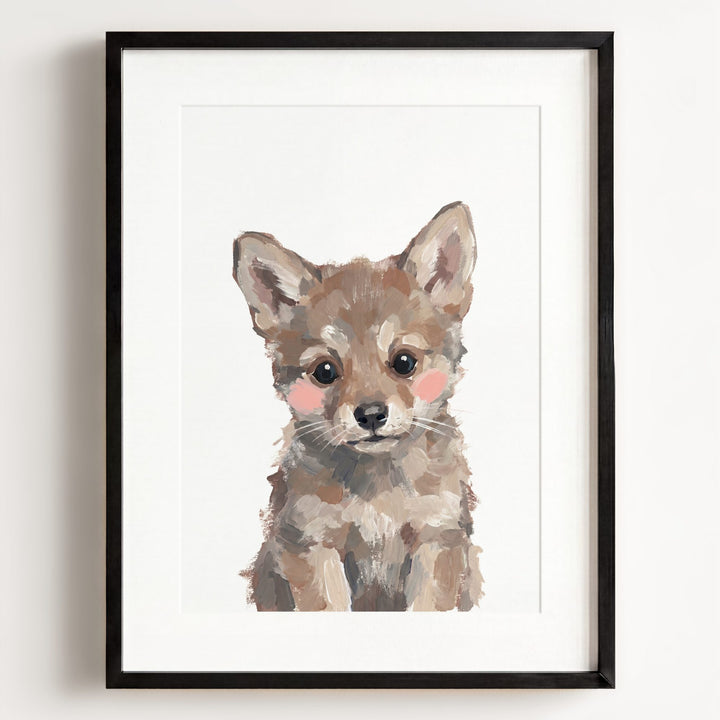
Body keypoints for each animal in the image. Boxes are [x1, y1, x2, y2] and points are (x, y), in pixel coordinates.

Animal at [233, 201, 484, 611]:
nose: (371, 415)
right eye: (325, 371)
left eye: (404, 362)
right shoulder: (311, 543)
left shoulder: (436, 537)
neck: (379, 497)